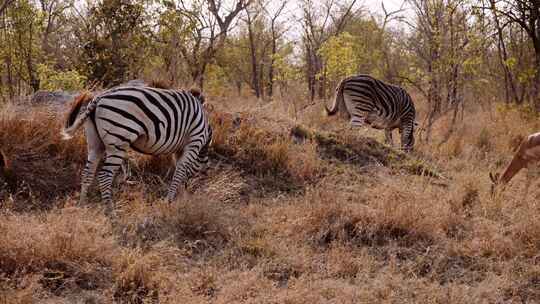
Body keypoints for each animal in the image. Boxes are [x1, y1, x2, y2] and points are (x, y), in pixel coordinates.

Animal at [61, 85, 213, 209]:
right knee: (104, 176)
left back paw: (81, 206)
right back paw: (110, 212)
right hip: (118, 140)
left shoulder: (180, 149)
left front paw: (180, 197)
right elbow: (180, 172)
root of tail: (98, 98)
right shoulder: (193, 142)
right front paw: (169, 201)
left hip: (95, 143)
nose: (197, 193)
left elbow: (180, 172)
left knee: (87, 173)